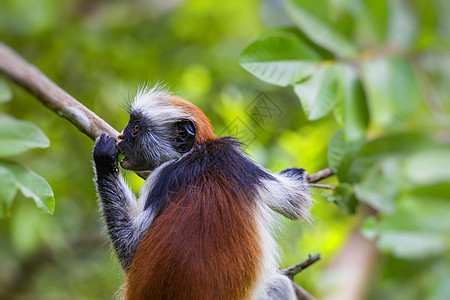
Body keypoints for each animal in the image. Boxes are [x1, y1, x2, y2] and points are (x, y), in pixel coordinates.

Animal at [94, 85, 312, 298]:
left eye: (136, 128)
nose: (121, 137)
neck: (198, 155)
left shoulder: (163, 176)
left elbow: (130, 249)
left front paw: (104, 160)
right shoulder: (233, 158)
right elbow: (298, 203)